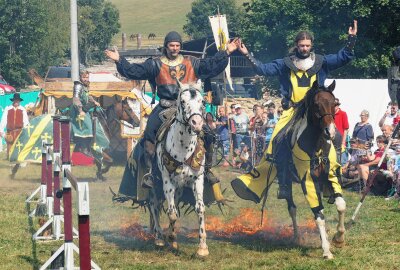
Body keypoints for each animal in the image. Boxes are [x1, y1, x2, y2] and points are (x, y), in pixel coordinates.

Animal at [147, 80, 209, 258]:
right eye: (182, 101)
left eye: (202, 102)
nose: (197, 124)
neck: (183, 149)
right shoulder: (167, 182)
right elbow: (172, 212)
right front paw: (171, 237)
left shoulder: (197, 179)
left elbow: (199, 208)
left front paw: (202, 247)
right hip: (155, 185)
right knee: (154, 205)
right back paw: (159, 237)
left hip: (180, 188)